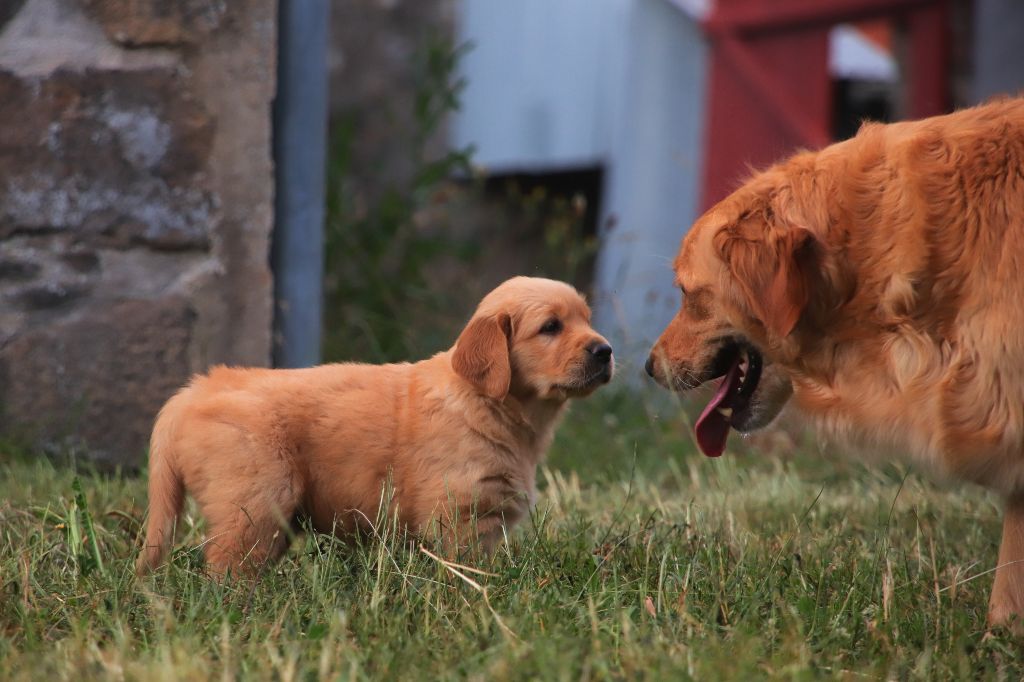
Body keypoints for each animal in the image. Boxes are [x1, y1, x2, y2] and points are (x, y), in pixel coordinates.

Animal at [139, 276, 610, 573]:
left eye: (586, 320)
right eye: (550, 327)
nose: (605, 351)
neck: (486, 403)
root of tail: (195, 390)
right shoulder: (459, 516)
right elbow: (465, 572)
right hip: (256, 502)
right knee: (227, 570)